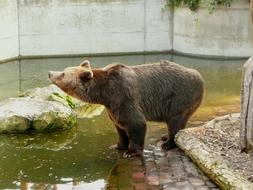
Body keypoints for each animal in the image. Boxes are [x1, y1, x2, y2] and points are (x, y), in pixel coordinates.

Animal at [49, 59, 204, 157]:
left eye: (63, 73)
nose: (50, 73)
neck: (105, 93)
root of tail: (199, 75)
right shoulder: (112, 107)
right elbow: (119, 127)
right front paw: (118, 145)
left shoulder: (123, 96)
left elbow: (136, 123)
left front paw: (130, 152)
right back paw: (165, 136)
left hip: (179, 97)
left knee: (175, 121)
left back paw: (167, 143)